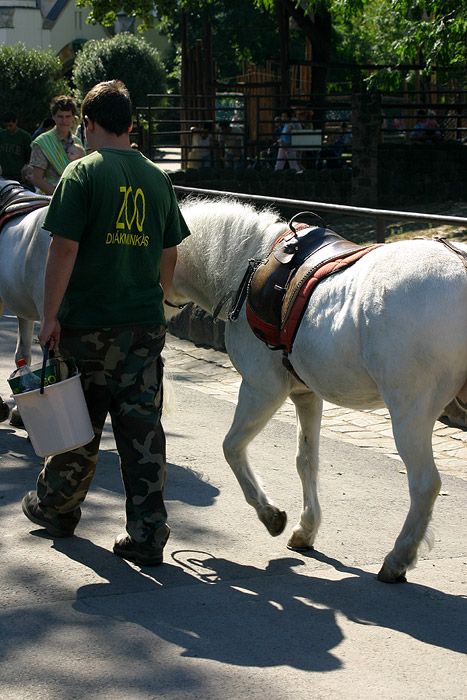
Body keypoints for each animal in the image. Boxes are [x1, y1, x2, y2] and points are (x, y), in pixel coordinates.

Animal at [165, 198, 467, 584]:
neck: (244, 269)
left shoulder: (262, 389)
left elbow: (231, 447)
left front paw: (270, 514)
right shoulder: (306, 394)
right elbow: (306, 460)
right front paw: (305, 530)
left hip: (410, 412)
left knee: (425, 483)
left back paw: (398, 558)